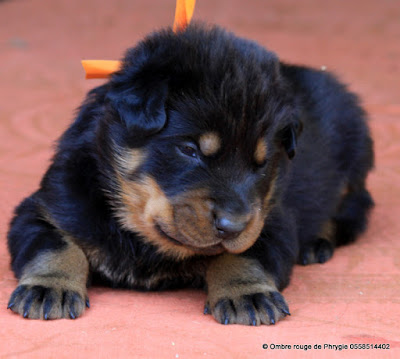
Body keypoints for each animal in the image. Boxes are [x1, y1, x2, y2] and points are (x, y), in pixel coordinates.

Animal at [7, 23, 376, 324]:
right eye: (190, 150)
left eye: (261, 163)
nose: (233, 225)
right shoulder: (49, 206)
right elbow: (53, 245)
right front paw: (48, 288)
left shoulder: (270, 222)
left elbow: (243, 254)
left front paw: (247, 293)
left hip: (353, 156)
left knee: (354, 209)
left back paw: (315, 242)